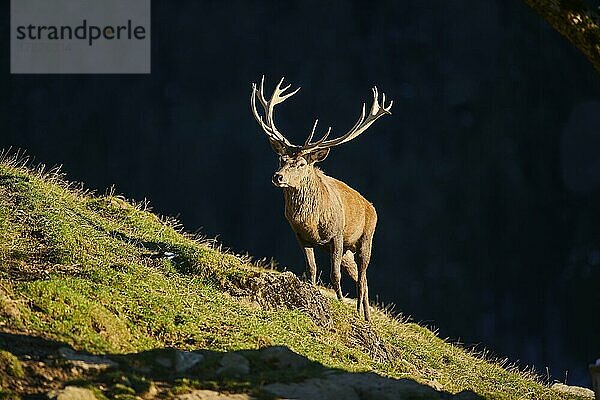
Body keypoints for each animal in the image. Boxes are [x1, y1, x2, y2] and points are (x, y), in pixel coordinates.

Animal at [250, 76, 394, 322]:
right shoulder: (301, 237)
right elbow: (312, 269)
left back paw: (362, 315)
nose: (278, 177)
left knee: (363, 278)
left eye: (301, 164)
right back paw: (365, 314)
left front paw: (340, 301)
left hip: (365, 239)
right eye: (281, 158)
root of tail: (371, 207)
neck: (310, 220)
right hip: (348, 251)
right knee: (362, 279)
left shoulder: (337, 235)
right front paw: (312, 291)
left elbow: (334, 274)